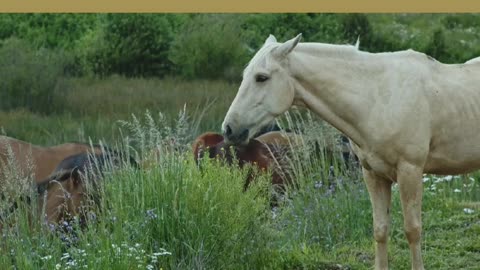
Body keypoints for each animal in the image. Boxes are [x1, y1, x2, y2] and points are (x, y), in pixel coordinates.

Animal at [221, 34, 480, 270]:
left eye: (261, 77)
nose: (229, 129)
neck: (377, 97)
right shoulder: (373, 173)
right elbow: (380, 229)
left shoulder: (411, 171)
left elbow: (412, 230)